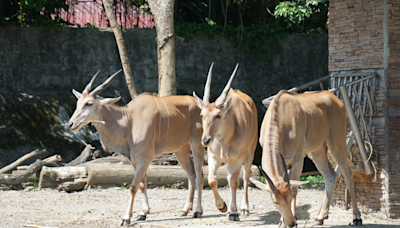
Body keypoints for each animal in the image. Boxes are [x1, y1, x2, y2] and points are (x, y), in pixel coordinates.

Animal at [67, 69, 205, 226]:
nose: (70, 124)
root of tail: (200, 105)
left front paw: (126, 218)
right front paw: (143, 213)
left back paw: (197, 211)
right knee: (191, 175)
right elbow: (142, 184)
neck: (129, 120)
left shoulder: (145, 157)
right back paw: (185, 209)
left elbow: (133, 186)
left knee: (199, 176)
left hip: (197, 144)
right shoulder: (134, 160)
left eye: (89, 103)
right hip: (180, 150)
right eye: (78, 102)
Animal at [193, 63, 256, 221]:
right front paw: (222, 207)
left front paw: (233, 212)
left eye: (219, 115)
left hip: (249, 153)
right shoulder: (212, 157)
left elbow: (234, 181)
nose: (205, 140)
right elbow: (212, 180)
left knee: (246, 175)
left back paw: (244, 208)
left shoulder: (239, 158)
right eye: (202, 115)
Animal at [250, 90, 362, 227]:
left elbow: (294, 189)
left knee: (348, 174)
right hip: (317, 151)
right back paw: (320, 217)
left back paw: (356, 217)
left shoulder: (298, 160)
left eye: (289, 198)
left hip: (337, 143)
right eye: (275, 202)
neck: (280, 117)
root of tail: (336, 99)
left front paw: (293, 218)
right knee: (330, 176)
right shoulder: (285, 162)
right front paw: (282, 222)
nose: (291, 223)